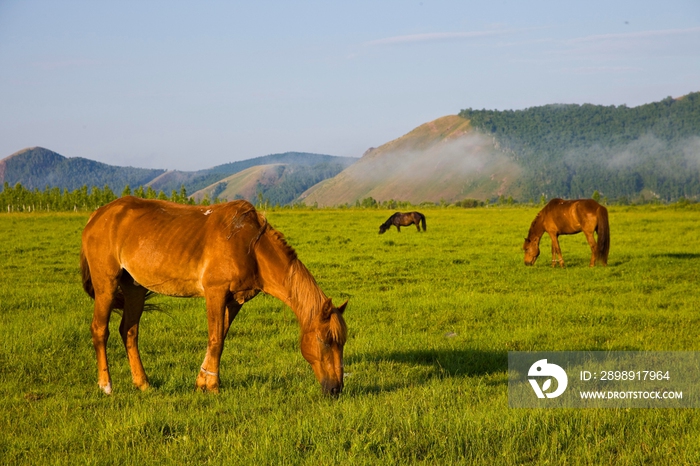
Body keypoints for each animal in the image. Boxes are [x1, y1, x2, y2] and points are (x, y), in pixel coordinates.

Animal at [80, 195, 348, 396]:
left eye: (342, 342)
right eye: (326, 341)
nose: (336, 389)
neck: (251, 246)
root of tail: (97, 215)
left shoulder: (235, 300)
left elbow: (220, 339)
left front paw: (203, 382)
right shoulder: (215, 293)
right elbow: (216, 339)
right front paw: (213, 387)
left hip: (135, 287)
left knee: (129, 332)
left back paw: (143, 383)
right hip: (106, 285)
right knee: (100, 330)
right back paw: (106, 386)